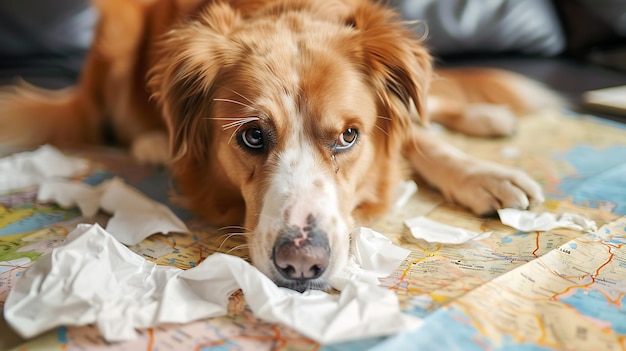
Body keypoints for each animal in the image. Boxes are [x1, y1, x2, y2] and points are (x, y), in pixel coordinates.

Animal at [0, 0, 556, 292]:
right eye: (252, 135)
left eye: (349, 136)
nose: (302, 265)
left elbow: (415, 136)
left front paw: (481, 174)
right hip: (120, 29)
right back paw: (154, 141)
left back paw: (485, 116)